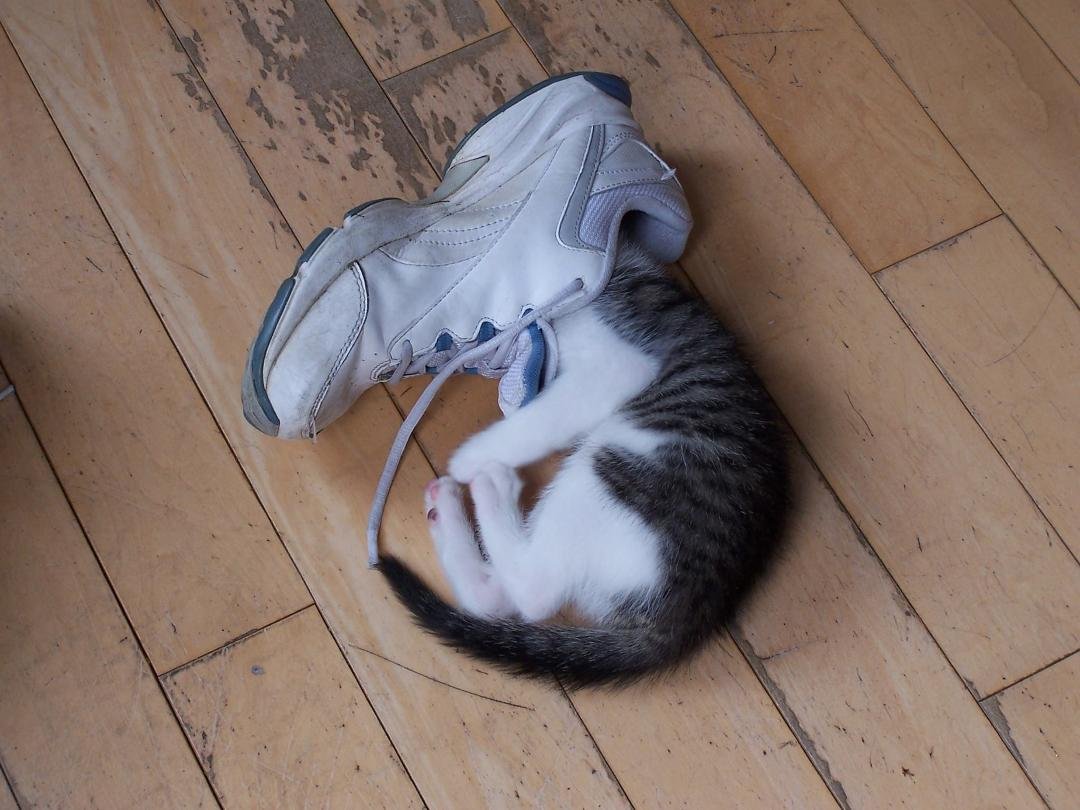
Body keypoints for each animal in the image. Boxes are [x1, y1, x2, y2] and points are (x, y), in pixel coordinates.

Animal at [379, 240, 789, 687]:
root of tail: (687, 618)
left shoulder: (620, 363)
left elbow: (543, 418)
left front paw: (470, 456)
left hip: (615, 471)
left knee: (535, 591)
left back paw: (491, 487)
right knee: (498, 598)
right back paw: (445, 508)